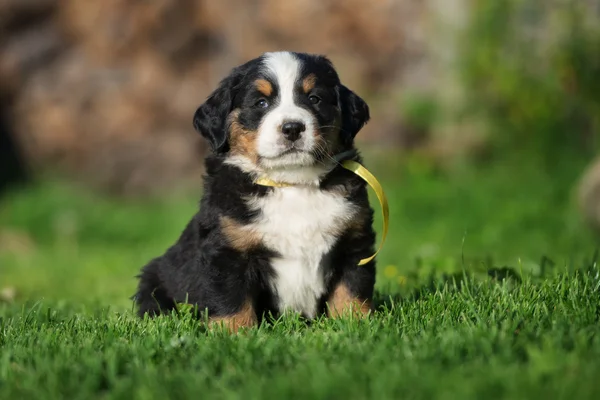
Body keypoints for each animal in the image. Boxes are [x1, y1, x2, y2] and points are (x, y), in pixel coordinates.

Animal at [135, 50, 376, 332]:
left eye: (314, 99)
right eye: (261, 103)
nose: (292, 128)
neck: (291, 183)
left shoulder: (354, 240)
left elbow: (350, 290)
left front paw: (356, 326)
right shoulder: (228, 249)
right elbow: (232, 301)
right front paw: (234, 334)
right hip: (154, 280)